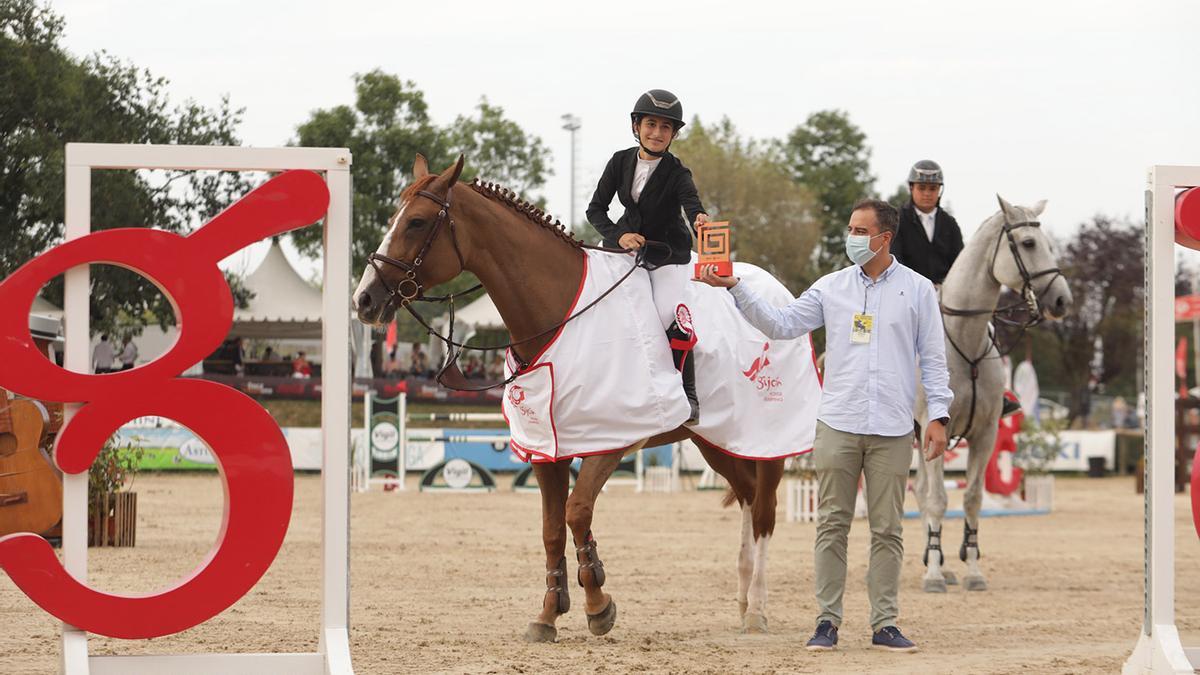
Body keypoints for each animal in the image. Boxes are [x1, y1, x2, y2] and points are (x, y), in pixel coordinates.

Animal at [355, 154, 787, 638]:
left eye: (416, 222)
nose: (364, 300)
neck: (559, 311)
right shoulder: (546, 447)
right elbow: (551, 528)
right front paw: (549, 613)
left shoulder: (614, 439)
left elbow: (577, 512)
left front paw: (598, 602)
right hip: (718, 440)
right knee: (747, 498)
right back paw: (743, 599)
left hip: (769, 441)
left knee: (764, 511)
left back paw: (758, 609)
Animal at [912, 194, 1075, 588]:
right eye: (1028, 244)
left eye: (1048, 244)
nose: (1062, 301)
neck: (964, 340)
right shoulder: (935, 431)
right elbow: (938, 500)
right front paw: (934, 576)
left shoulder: (984, 434)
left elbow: (971, 499)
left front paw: (971, 570)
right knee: (921, 493)